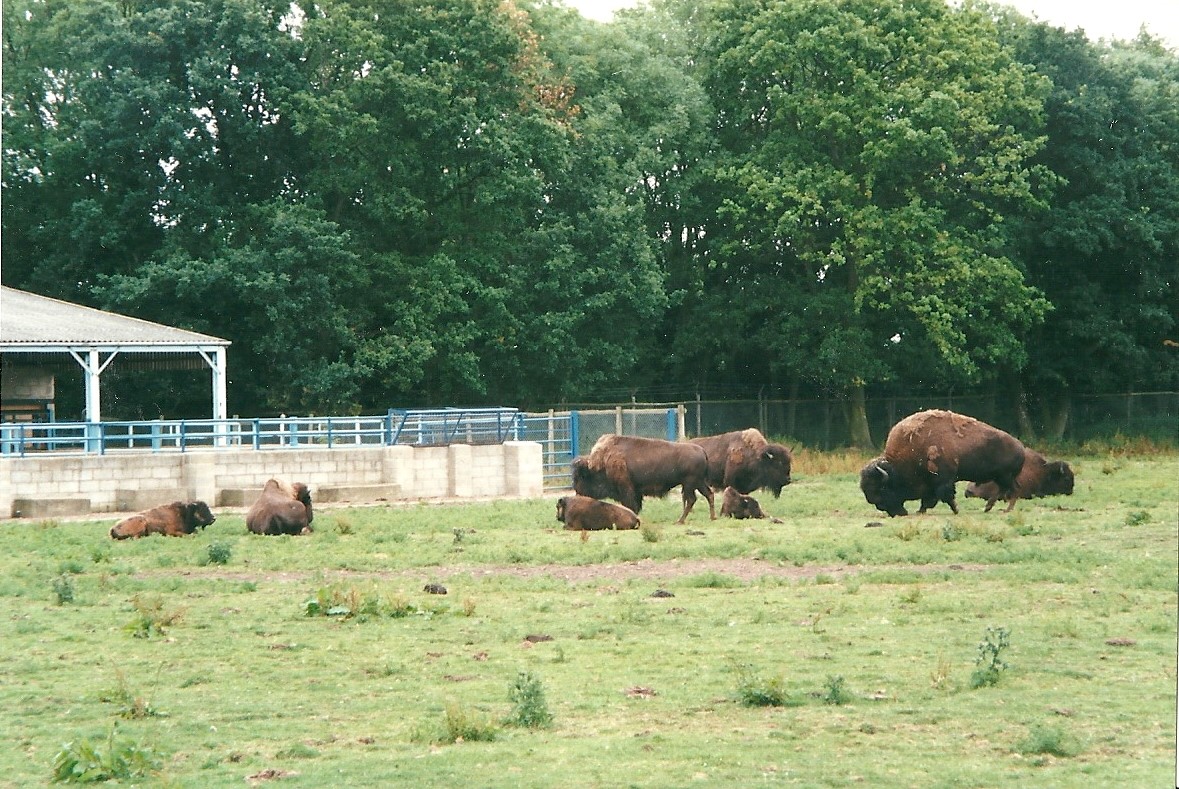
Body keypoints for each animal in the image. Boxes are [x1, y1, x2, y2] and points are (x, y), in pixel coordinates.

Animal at [571, 434, 716, 524]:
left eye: (580, 478)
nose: (578, 494)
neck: (602, 462)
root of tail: (702, 451)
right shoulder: (634, 491)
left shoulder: (626, 488)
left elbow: (630, 505)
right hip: (698, 483)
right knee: (709, 495)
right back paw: (712, 517)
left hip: (690, 484)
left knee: (692, 499)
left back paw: (680, 521)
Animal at [860, 410, 1026, 517]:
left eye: (882, 489)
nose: (897, 513)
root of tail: (1021, 447)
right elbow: (930, 497)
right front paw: (921, 510)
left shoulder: (942, 479)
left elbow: (944, 495)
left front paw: (956, 510)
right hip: (1000, 477)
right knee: (1004, 490)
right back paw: (988, 508)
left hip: (1005, 476)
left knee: (1013, 490)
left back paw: (1006, 510)